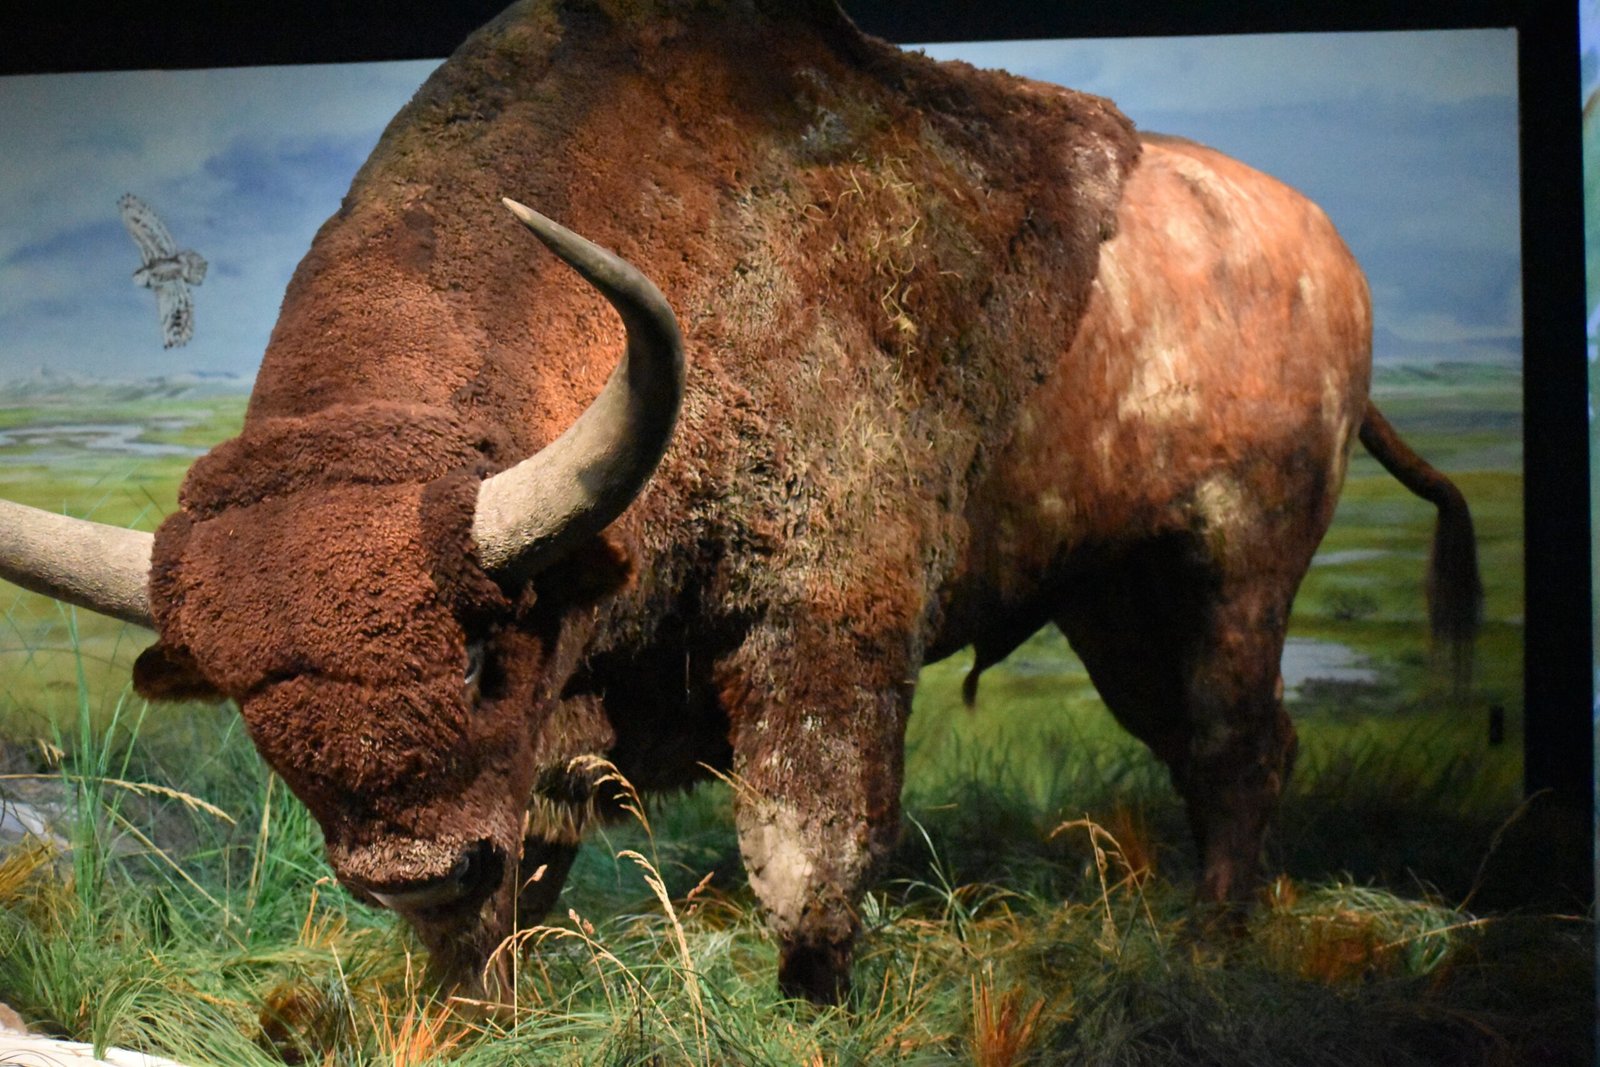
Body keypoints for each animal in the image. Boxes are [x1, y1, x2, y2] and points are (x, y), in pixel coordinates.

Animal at [0, 0, 1475, 1005]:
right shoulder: (552, 744)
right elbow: (525, 871)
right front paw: (472, 1008)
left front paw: (813, 1003)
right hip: (1111, 603)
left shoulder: (821, 629)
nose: (410, 868)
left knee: (1239, 743)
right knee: (1200, 745)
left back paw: (1212, 942)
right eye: (253, 697)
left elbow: (807, 851)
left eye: (478, 649)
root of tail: (1326, 251)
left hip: (1230, 572)